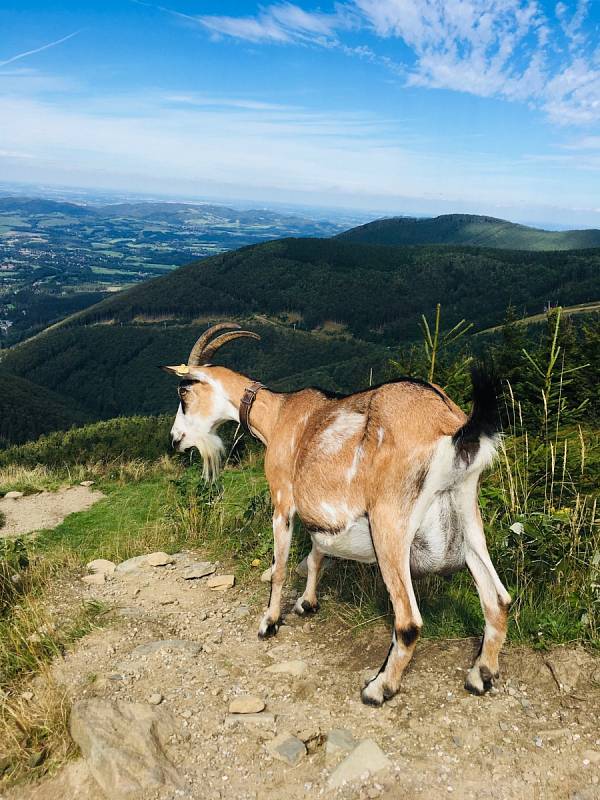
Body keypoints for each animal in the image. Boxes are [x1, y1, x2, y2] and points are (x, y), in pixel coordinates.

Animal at [163, 322, 510, 704]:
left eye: (183, 392)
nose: (175, 439)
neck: (278, 414)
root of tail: (451, 427)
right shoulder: (324, 517)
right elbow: (317, 554)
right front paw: (307, 603)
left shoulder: (283, 498)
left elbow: (280, 567)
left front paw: (269, 622)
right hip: (466, 512)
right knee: (498, 599)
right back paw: (481, 675)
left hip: (389, 522)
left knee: (408, 622)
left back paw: (379, 687)